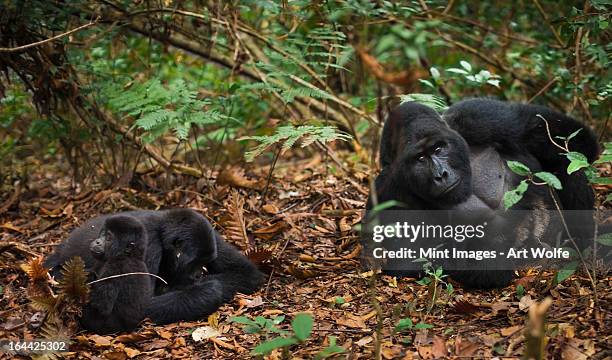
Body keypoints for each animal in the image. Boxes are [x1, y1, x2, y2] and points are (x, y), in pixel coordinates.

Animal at [45, 208, 266, 330]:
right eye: (193, 264)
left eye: (204, 262)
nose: (197, 276)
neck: (162, 232)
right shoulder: (150, 245)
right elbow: (140, 307)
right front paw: (208, 290)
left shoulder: (211, 234)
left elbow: (247, 273)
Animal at [366, 98, 600, 290]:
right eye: (420, 159)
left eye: (439, 149)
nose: (441, 175)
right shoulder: (388, 191)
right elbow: (406, 262)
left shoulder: (476, 115)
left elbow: (574, 139)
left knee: (568, 161)